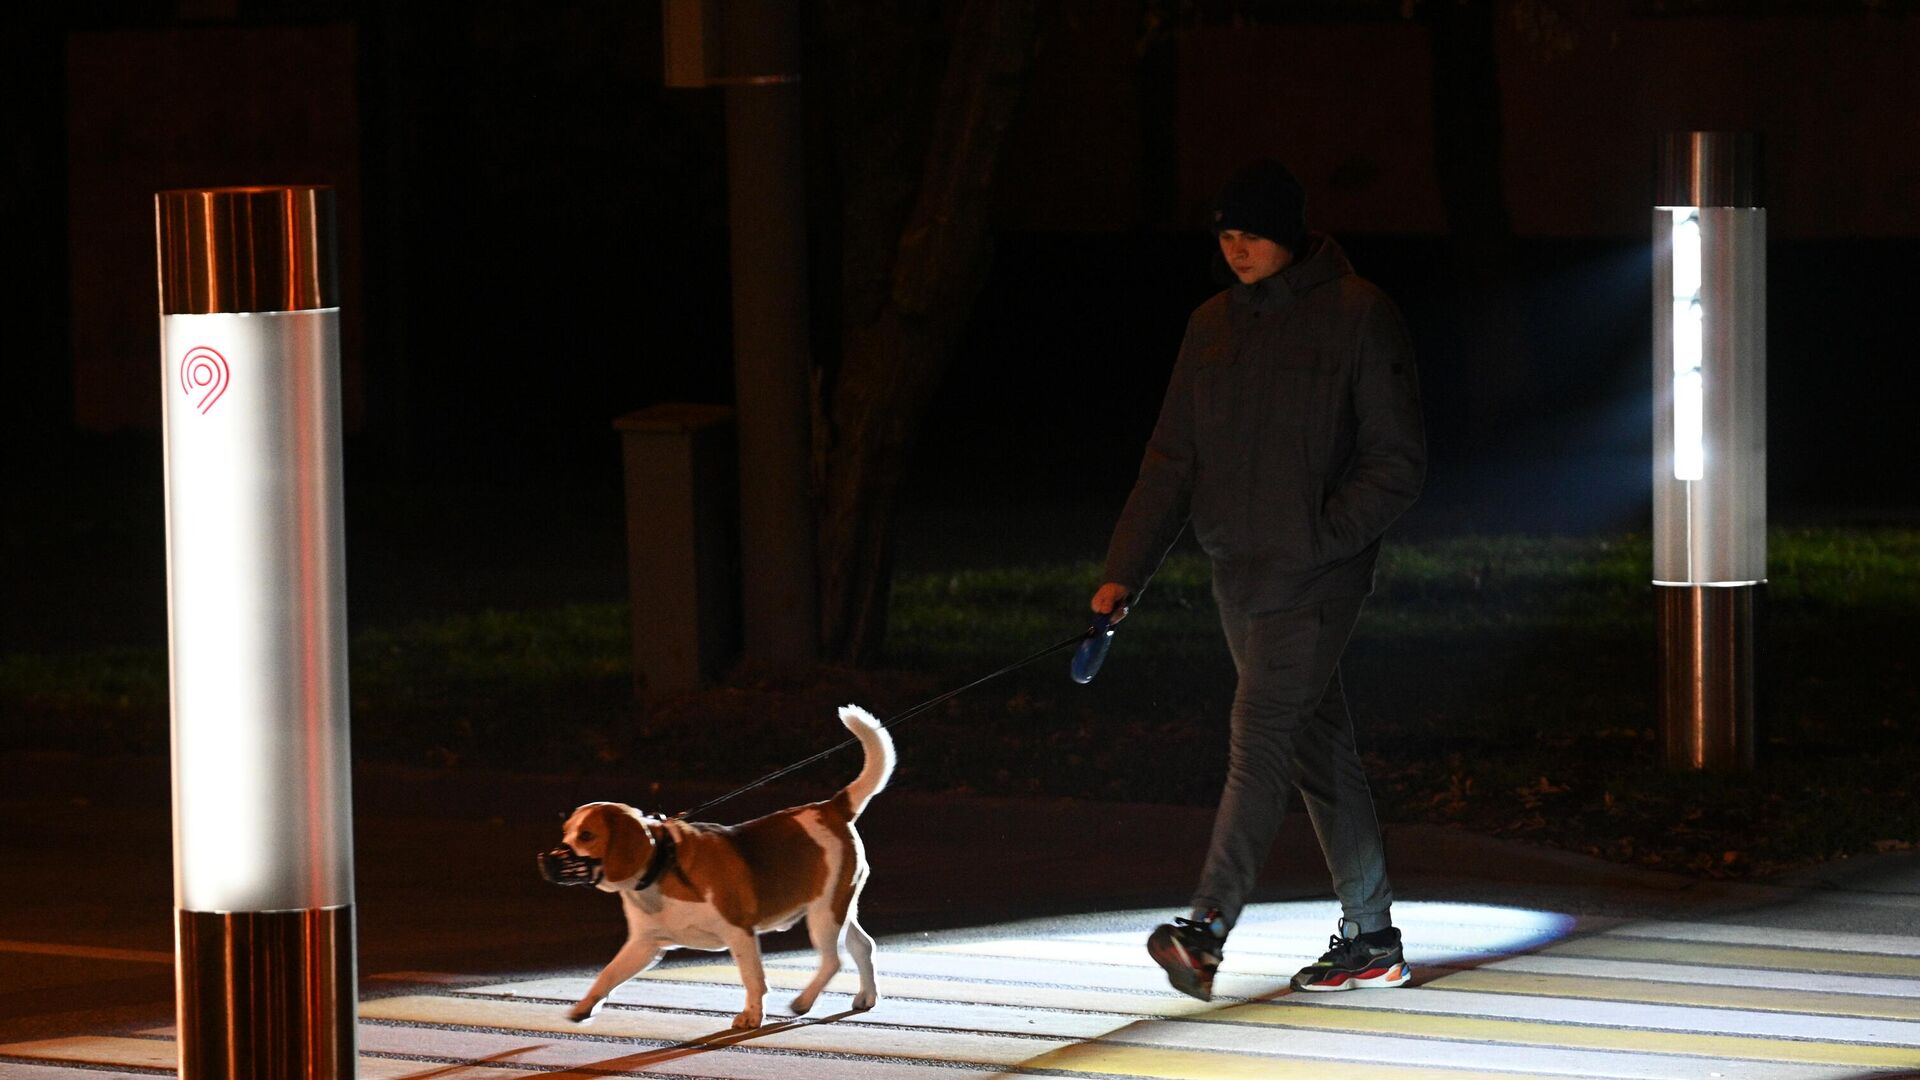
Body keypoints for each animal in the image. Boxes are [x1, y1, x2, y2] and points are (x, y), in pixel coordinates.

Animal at [549, 703, 890, 1022]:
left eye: (587, 835)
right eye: (566, 832)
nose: (548, 859)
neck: (662, 865)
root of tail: (832, 807)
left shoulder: (740, 933)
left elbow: (753, 980)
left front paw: (752, 1016)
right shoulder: (643, 945)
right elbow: (608, 974)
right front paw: (585, 1006)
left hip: (824, 914)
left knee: (833, 961)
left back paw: (803, 1001)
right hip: (840, 909)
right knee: (864, 946)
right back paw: (866, 996)